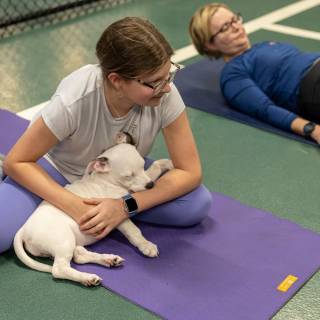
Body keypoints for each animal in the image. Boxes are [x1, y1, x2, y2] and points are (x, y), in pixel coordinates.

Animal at [13, 133, 172, 288]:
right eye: (128, 176)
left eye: (143, 166)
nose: (151, 186)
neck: (107, 180)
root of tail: (23, 230)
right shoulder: (116, 214)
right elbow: (134, 231)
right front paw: (146, 245)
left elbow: (155, 167)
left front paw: (168, 163)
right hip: (64, 240)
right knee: (59, 269)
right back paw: (87, 277)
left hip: (70, 242)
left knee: (79, 256)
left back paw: (108, 260)